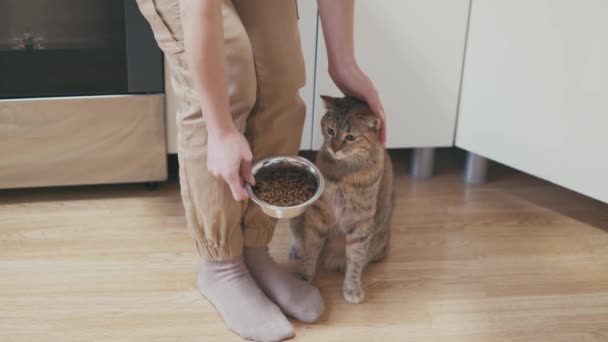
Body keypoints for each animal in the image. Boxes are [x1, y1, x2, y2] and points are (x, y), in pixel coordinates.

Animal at [290, 95, 394, 304]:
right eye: (330, 130)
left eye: (351, 137)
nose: (334, 148)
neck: (344, 173)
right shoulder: (318, 215)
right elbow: (311, 248)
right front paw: (304, 274)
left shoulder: (360, 221)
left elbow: (355, 258)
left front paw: (352, 287)